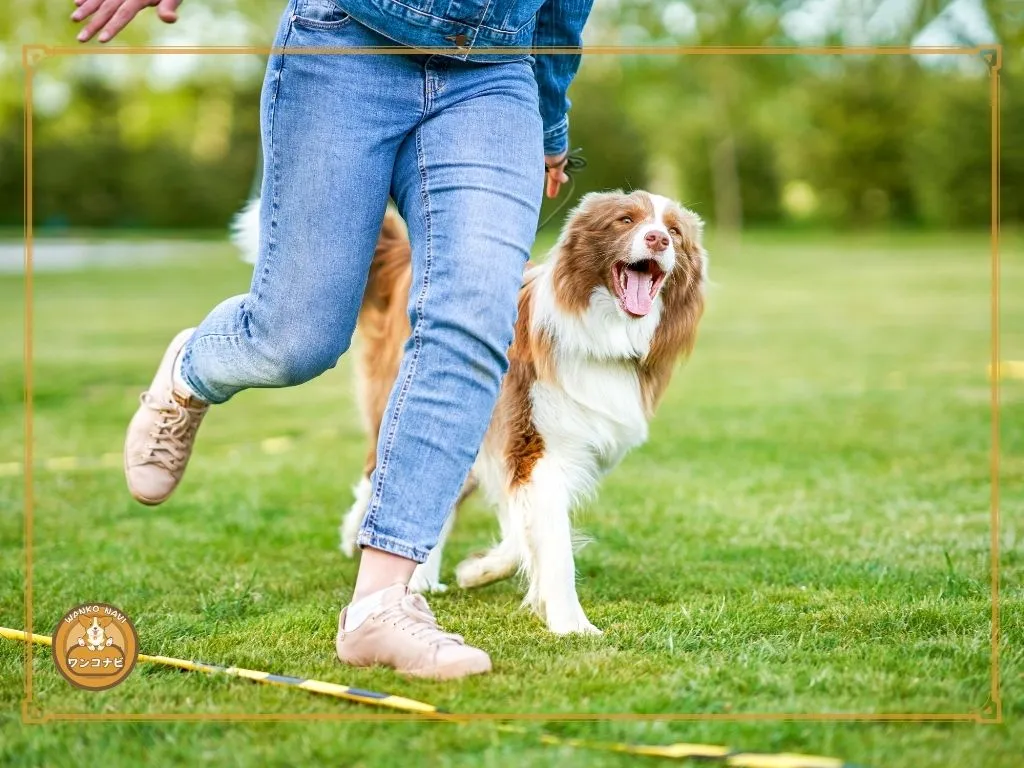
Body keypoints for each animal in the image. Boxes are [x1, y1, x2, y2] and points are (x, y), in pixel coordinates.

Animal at [235, 189, 708, 634]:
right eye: (626, 220)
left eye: (675, 231)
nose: (658, 238)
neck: (605, 335)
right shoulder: (531, 441)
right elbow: (552, 540)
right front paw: (572, 625)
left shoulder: (552, 451)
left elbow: (525, 527)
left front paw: (479, 570)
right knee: (379, 470)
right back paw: (361, 537)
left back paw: (422, 576)